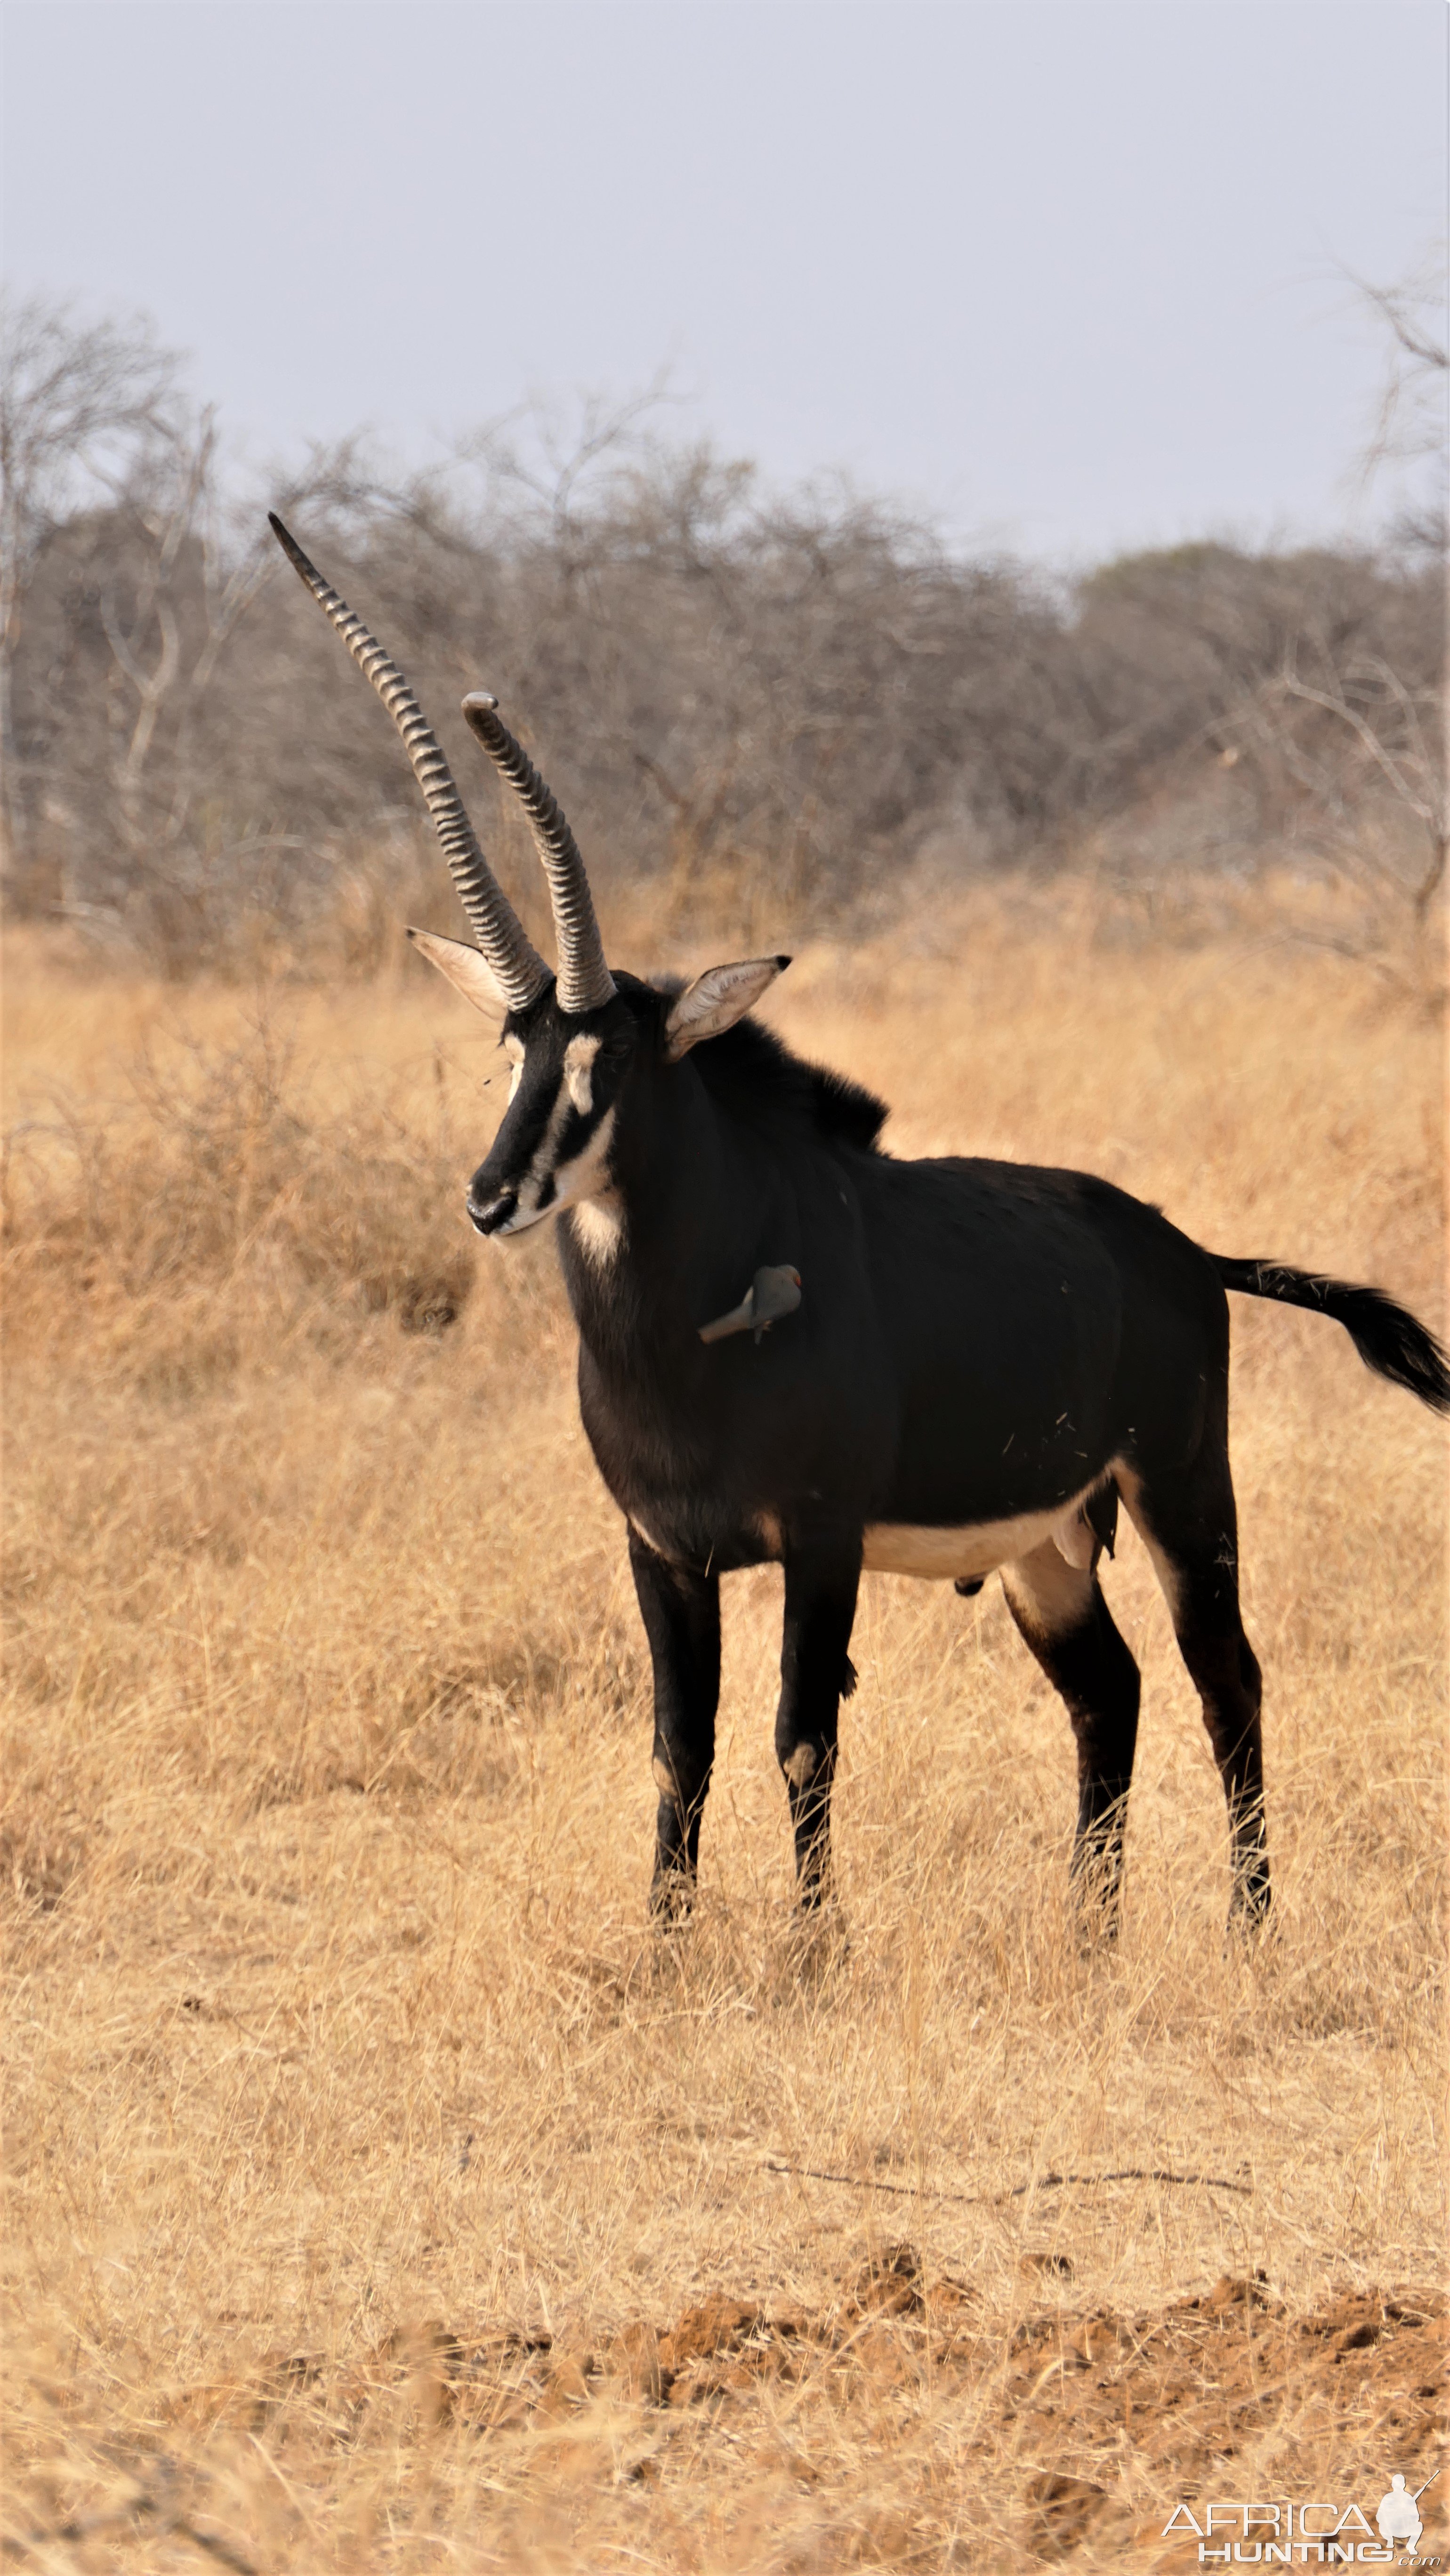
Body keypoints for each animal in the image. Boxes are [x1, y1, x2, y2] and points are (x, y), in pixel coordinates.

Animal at [273, 512, 1450, 1937]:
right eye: (513, 1052)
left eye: (613, 1059)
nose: (491, 1196)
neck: (689, 1322)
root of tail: (1179, 1250)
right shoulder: (662, 1552)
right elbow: (680, 1746)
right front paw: (666, 1951)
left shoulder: (818, 1543)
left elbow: (800, 1738)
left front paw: (811, 1952)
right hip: (1048, 1543)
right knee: (1109, 1689)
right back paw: (1090, 1938)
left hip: (1179, 1491)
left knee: (1228, 1678)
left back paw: (1251, 1928)